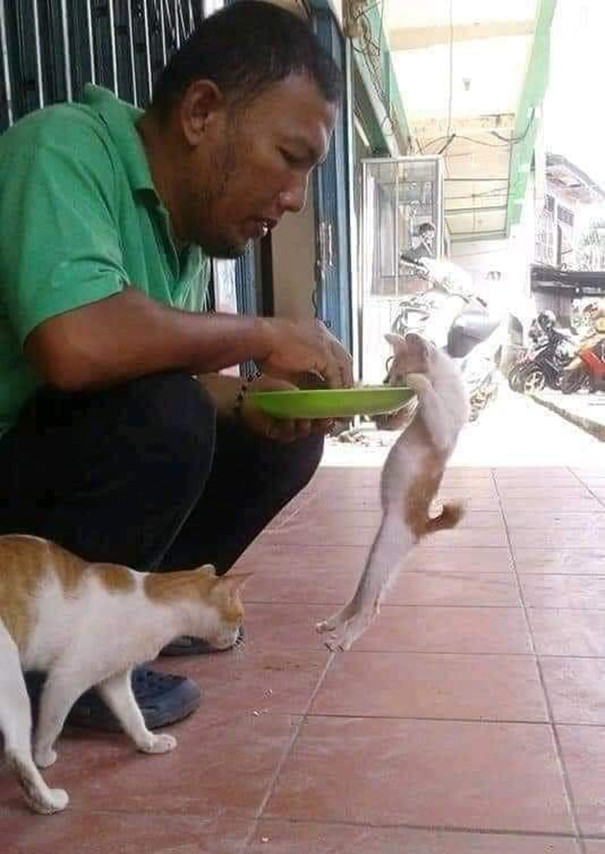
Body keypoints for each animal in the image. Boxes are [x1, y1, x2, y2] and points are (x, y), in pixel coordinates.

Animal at [0, 540, 248, 820]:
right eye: (239, 617)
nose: (238, 638)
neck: (153, 602)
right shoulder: (65, 679)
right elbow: (51, 726)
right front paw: (43, 755)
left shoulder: (115, 679)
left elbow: (133, 715)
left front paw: (150, 742)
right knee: (16, 753)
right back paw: (48, 800)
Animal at [316, 332, 468, 648]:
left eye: (398, 374)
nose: (387, 381)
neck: (445, 377)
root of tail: (422, 525)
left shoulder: (444, 428)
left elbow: (430, 397)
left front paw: (417, 382)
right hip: (374, 560)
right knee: (360, 599)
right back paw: (333, 624)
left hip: (383, 555)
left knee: (369, 609)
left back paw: (343, 640)